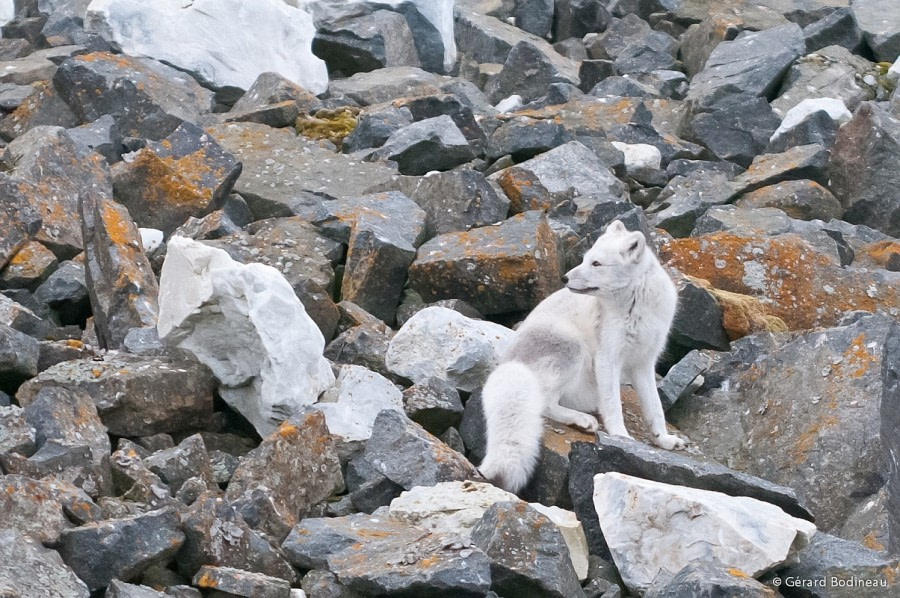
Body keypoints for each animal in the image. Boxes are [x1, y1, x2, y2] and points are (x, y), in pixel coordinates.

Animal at [482, 223, 684, 494]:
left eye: (596, 263)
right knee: (546, 403)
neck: (636, 305)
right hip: (572, 347)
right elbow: (613, 405)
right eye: (586, 259)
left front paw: (664, 440)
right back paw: (582, 421)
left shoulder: (644, 362)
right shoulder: (608, 358)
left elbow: (655, 408)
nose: (565, 278)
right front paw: (621, 437)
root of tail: (508, 363)